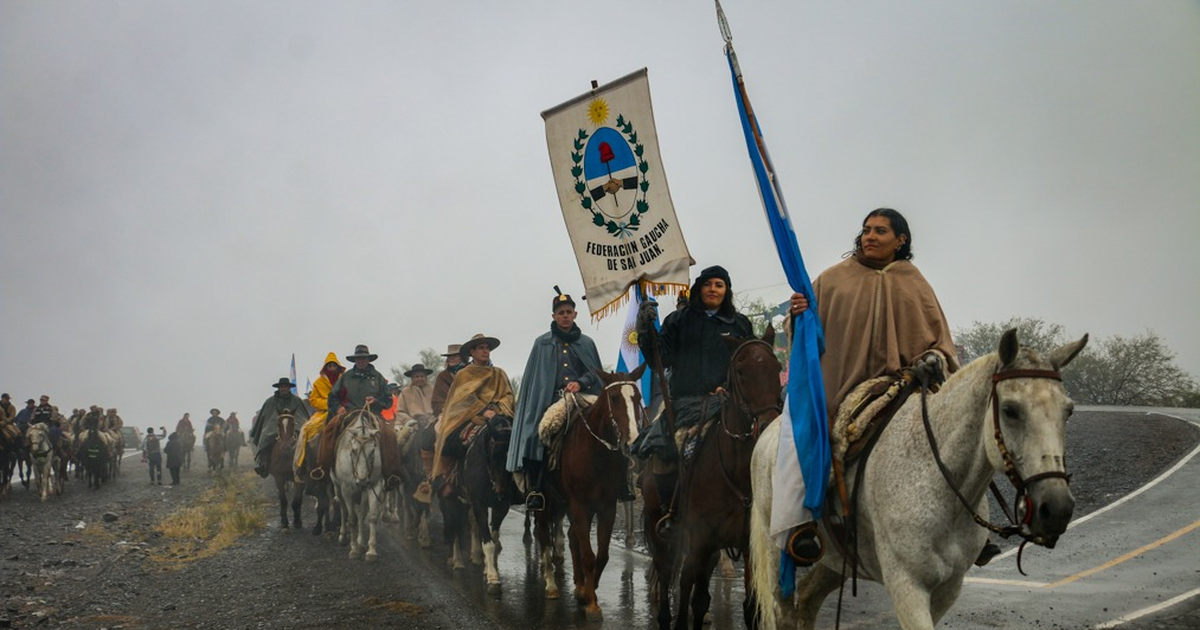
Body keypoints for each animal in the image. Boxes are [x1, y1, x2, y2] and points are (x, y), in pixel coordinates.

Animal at [328, 410, 384, 561]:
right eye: (353, 450)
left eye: (373, 451)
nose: (362, 480)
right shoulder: (347, 489)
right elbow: (351, 518)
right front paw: (353, 549)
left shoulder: (374, 485)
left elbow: (371, 516)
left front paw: (370, 550)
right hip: (338, 487)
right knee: (343, 509)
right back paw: (343, 536)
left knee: (361, 513)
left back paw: (360, 542)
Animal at [535, 362, 648, 619]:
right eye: (614, 398)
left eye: (637, 397)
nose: (632, 443)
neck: (597, 454)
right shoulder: (579, 505)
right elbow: (588, 555)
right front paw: (593, 604)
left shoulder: (606, 508)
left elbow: (601, 555)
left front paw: (588, 591)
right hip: (547, 501)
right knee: (544, 535)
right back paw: (551, 585)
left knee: (571, 537)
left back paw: (578, 585)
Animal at [643, 324, 782, 628]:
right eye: (740, 371)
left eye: (777, 367)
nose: (767, 423)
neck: (734, 471)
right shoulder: (698, 541)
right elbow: (687, 594)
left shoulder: (747, 546)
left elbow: (749, 607)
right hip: (662, 532)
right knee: (668, 573)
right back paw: (663, 616)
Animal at [748, 328, 1089, 628]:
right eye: (1010, 410)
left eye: (1069, 411)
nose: (1056, 507)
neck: (937, 482)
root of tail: (767, 434)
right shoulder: (907, 585)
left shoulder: (949, 587)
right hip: (777, 550)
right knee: (784, 612)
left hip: (837, 558)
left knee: (807, 600)